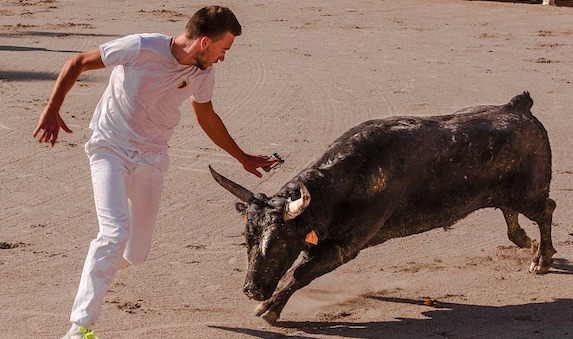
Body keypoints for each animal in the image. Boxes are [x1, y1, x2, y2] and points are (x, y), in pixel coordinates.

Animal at [209, 92, 556, 324]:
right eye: (247, 240)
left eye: (280, 242)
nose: (252, 291)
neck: (348, 179)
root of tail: (518, 107)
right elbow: (302, 268)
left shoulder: (346, 246)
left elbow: (301, 272)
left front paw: (270, 309)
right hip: (507, 194)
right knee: (510, 212)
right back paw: (525, 243)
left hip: (529, 193)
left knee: (546, 210)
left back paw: (541, 260)